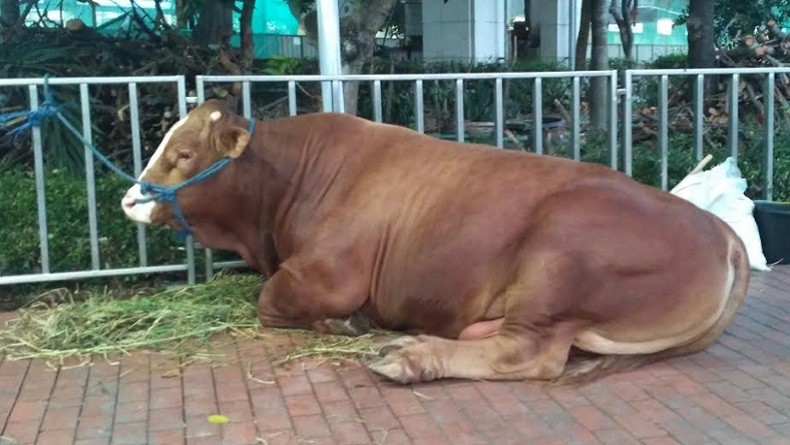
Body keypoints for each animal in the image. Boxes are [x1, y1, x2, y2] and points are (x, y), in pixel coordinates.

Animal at [122, 99, 748, 384]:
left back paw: (409, 355)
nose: (129, 199)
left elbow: (269, 300)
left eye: (184, 154)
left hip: (557, 263)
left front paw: (347, 323)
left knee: (530, 354)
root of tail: (720, 232)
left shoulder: (328, 274)